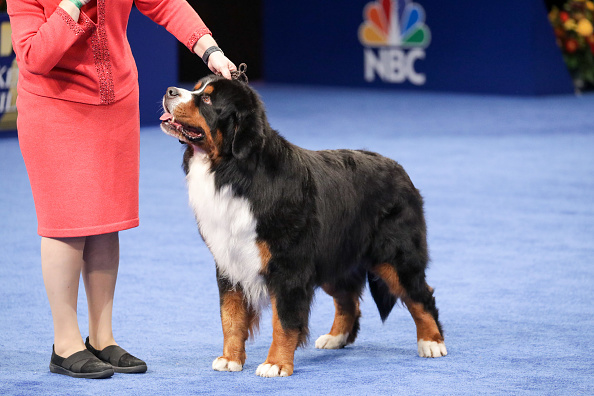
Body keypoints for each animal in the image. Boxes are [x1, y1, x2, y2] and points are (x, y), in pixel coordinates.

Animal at [160, 73, 446, 378]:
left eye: (207, 99)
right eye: (197, 87)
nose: (170, 91)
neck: (234, 173)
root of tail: (399, 168)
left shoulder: (289, 267)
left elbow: (284, 320)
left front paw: (276, 363)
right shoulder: (229, 261)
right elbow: (231, 316)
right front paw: (230, 359)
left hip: (395, 257)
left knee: (421, 296)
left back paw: (432, 343)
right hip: (333, 259)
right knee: (348, 300)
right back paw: (335, 337)